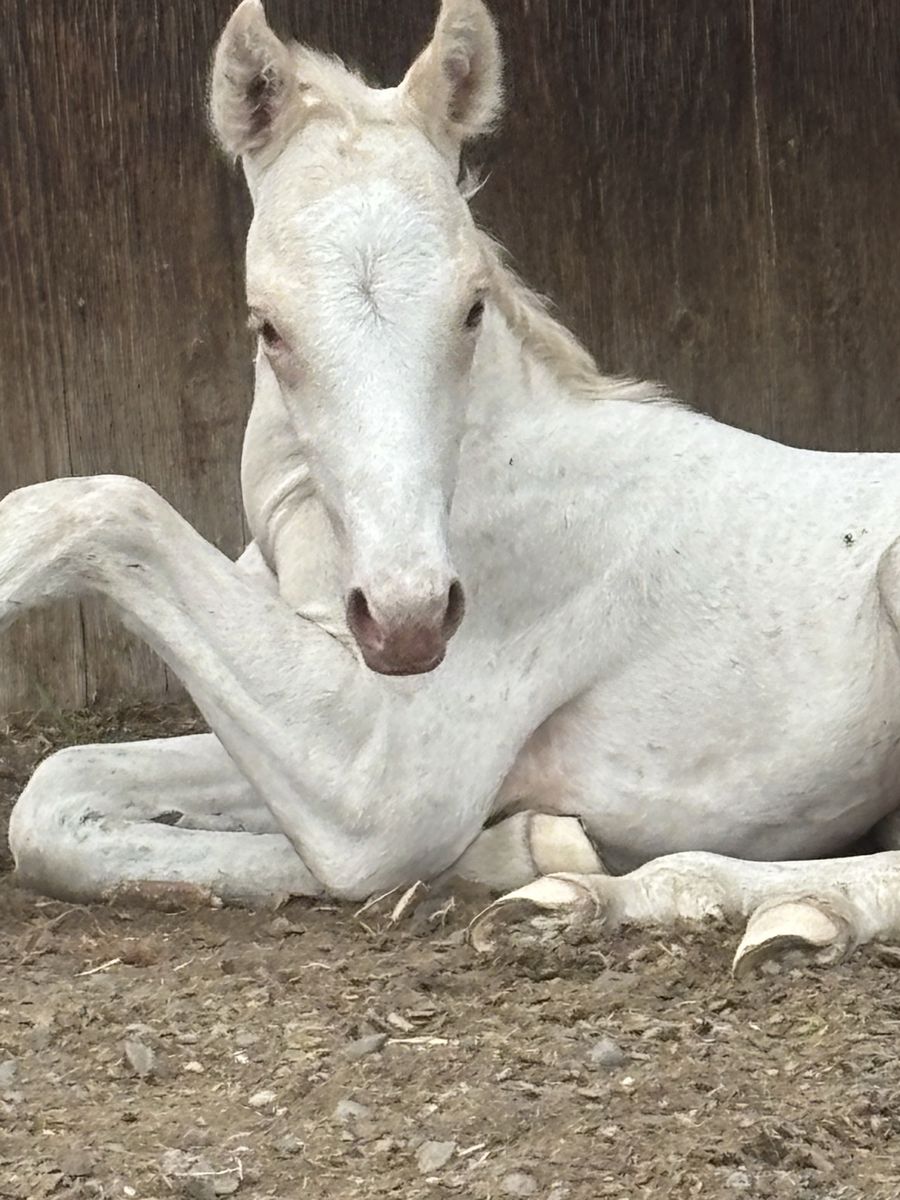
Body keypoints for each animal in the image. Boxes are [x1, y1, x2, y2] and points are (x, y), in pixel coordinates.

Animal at [5, 0, 900, 975]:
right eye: (268, 325)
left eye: (471, 307)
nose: (410, 621)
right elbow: (58, 791)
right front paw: (515, 847)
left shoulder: (384, 788)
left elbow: (95, 507)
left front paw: (525, 854)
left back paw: (726, 905)